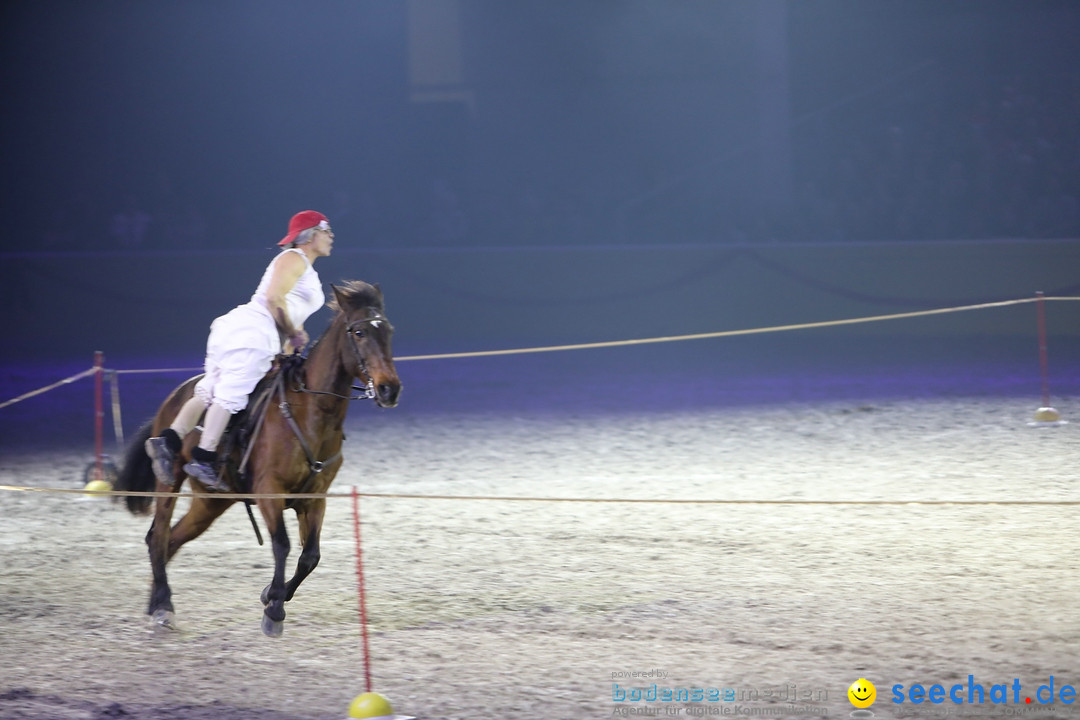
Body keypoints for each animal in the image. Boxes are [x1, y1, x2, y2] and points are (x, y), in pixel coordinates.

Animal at [115, 280, 401, 634]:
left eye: (387, 330)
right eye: (359, 332)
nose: (390, 389)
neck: (311, 413)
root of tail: (175, 396)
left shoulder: (315, 498)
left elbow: (310, 555)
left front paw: (271, 595)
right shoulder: (269, 491)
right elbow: (283, 545)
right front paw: (274, 609)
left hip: (209, 503)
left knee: (171, 540)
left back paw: (156, 602)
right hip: (170, 484)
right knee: (158, 536)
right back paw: (163, 605)